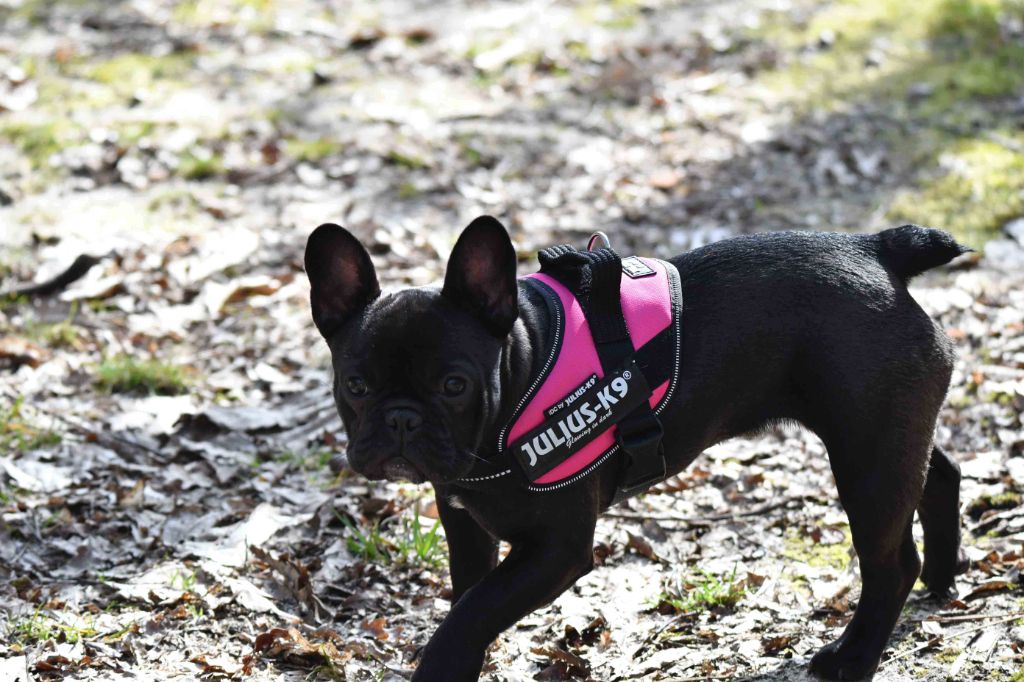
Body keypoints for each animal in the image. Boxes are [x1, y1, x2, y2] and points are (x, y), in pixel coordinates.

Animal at [301, 218, 966, 679]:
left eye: (453, 385)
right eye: (355, 385)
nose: (402, 420)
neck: (518, 377)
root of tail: (876, 250)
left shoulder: (555, 550)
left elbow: (470, 612)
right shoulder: (466, 523)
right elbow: (469, 600)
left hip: (866, 457)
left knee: (889, 561)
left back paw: (853, 656)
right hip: (886, 436)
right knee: (939, 474)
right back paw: (942, 575)